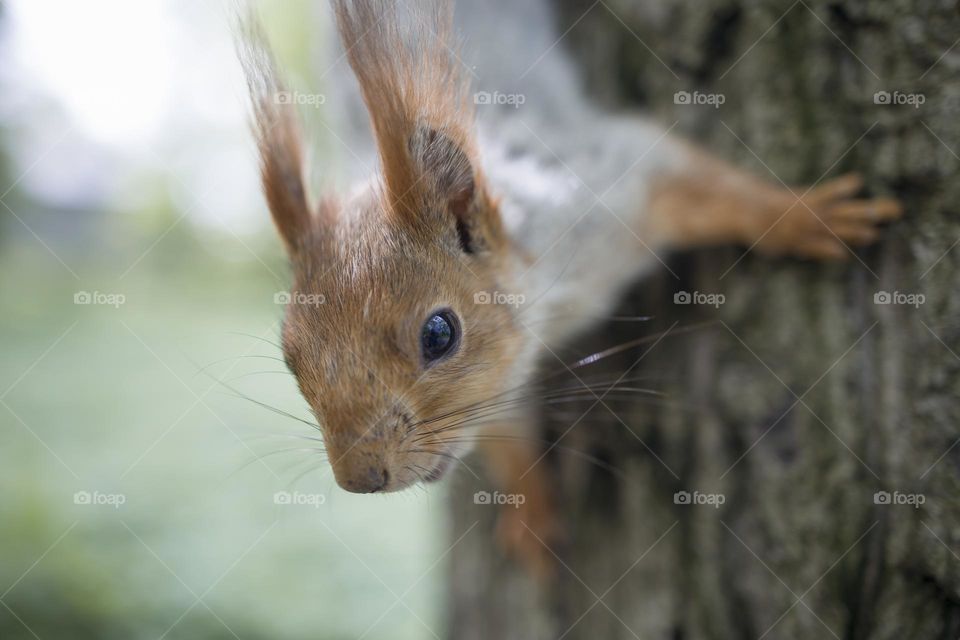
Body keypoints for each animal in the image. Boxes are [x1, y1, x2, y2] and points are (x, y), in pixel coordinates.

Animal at [238, 0, 903, 577]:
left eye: (439, 334)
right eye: (291, 360)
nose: (360, 478)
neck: (546, 308)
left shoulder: (607, 187)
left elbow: (708, 188)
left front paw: (806, 217)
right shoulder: (495, 387)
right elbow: (508, 438)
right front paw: (531, 512)